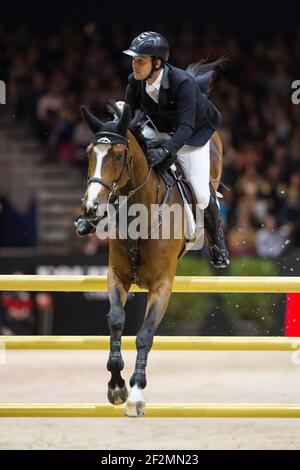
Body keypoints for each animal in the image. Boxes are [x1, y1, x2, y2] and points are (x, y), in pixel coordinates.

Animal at [79, 101, 223, 416]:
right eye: (89, 153)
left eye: (117, 155)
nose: (91, 208)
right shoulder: (117, 276)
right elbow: (116, 321)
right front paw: (116, 386)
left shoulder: (162, 285)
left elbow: (144, 335)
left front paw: (135, 393)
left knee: (209, 197)